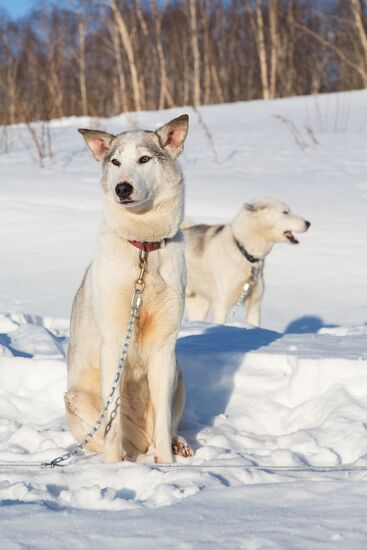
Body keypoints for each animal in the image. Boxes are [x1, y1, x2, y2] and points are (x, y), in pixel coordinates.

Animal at [66, 115, 194, 466]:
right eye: (115, 162)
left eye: (144, 159)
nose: (122, 188)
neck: (144, 250)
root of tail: (140, 441)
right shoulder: (113, 342)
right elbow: (112, 424)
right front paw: (114, 468)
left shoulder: (164, 348)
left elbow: (163, 421)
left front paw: (167, 464)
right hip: (76, 398)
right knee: (104, 434)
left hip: (179, 375)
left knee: (166, 426)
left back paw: (177, 445)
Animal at [184, 198, 310, 328]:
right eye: (285, 212)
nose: (308, 223)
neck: (244, 252)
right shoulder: (221, 306)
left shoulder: (254, 305)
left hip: (199, 305)